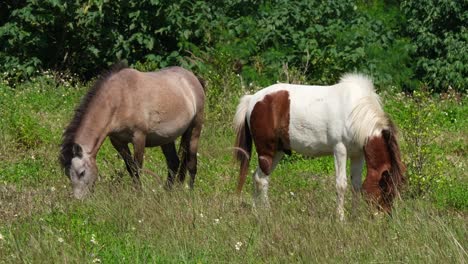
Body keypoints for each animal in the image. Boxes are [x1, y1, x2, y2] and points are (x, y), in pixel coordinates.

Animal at [59, 64, 205, 199]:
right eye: (68, 174)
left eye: (82, 172)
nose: (79, 200)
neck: (120, 98)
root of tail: (194, 79)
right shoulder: (118, 141)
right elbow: (130, 167)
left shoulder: (139, 137)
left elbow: (136, 168)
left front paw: (139, 195)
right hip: (166, 139)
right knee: (174, 163)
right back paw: (168, 193)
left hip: (194, 130)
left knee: (191, 163)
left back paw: (189, 193)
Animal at [234, 73, 406, 221]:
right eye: (387, 189)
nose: (386, 217)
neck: (355, 113)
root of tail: (252, 100)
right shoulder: (340, 149)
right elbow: (341, 184)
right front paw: (341, 218)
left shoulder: (358, 154)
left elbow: (356, 185)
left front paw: (355, 217)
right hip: (267, 151)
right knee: (262, 180)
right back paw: (268, 213)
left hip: (278, 152)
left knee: (258, 177)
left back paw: (257, 212)